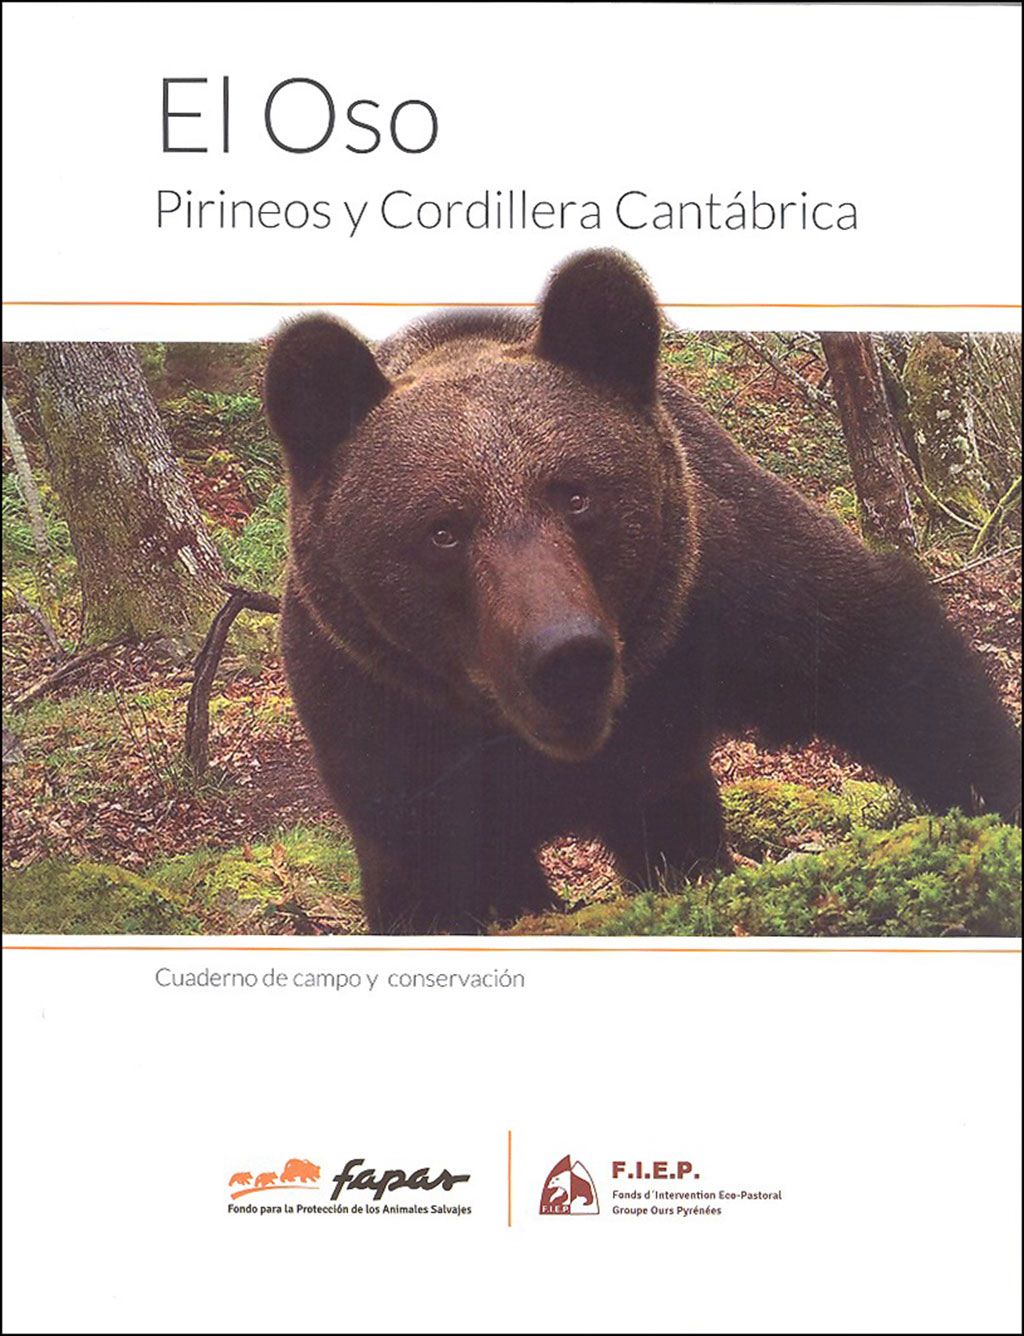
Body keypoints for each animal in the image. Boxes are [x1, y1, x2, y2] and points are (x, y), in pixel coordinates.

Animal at [264, 248, 1021, 934]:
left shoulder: (716, 598)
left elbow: (885, 664)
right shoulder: (385, 726)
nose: (565, 655)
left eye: (575, 493)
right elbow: (447, 880)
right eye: (442, 530)